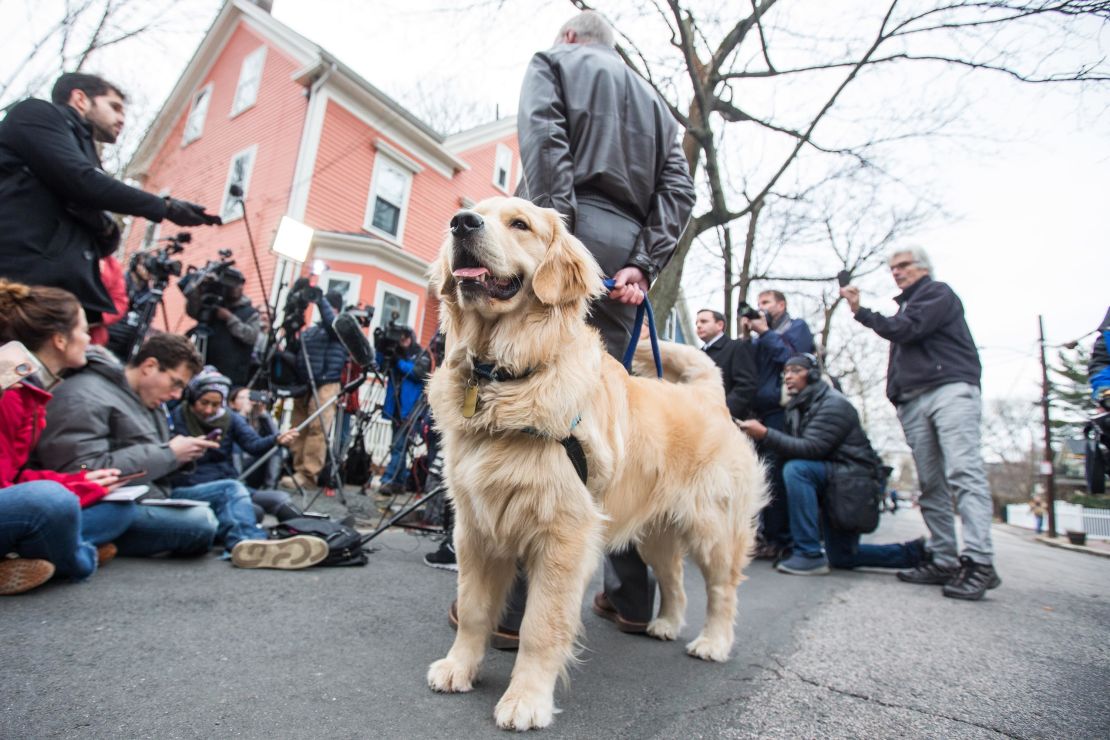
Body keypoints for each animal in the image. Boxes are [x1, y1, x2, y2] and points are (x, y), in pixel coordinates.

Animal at [421, 195, 763, 727]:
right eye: (474, 211)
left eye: (520, 224)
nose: (461, 223)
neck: (507, 376)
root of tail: (709, 395)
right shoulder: (476, 527)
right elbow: (474, 608)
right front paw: (459, 667)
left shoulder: (564, 535)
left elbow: (541, 625)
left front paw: (527, 699)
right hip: (655, 535)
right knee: (675, 582)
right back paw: (665, 624)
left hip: (713, 529)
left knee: (722, 589)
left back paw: (713, 642)